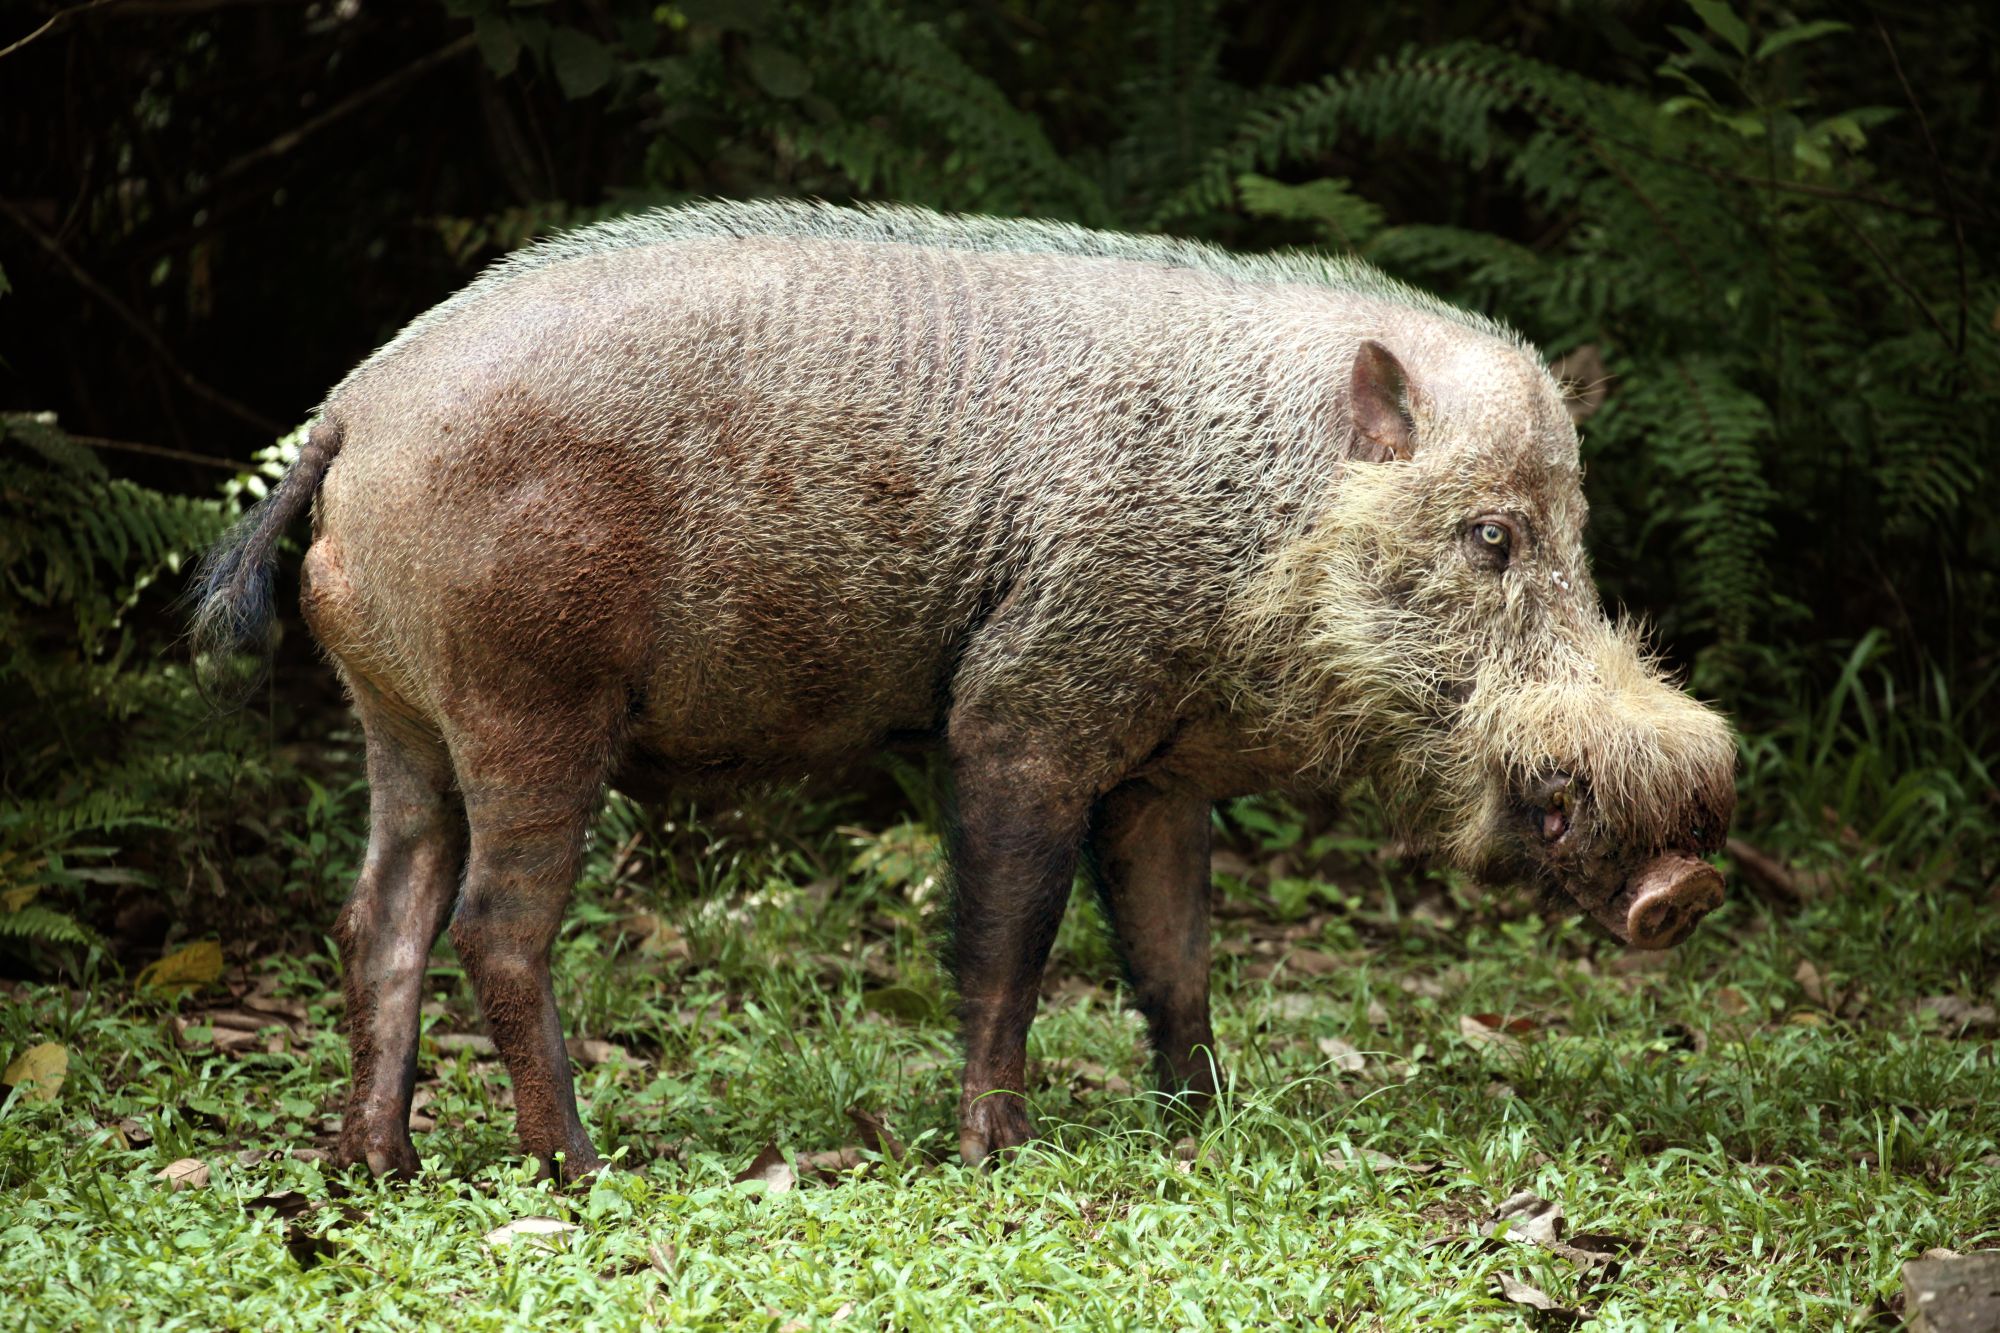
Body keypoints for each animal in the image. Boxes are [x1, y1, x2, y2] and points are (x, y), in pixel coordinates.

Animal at [192, 200, 1736, 1179]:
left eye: (1577, 532)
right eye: (1491, 537)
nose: (1684, 883)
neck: (1260, 524)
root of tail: (354, 406)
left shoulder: (1156, 763)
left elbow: (1176, 956)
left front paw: (1206, 1128)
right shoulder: (1020, 709)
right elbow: (1011, 945)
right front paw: (1000, 1154)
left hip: (397, 721)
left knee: (376, 918)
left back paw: (379, 1167)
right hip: (529, 705)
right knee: (492, 929)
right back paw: (581, 1168)